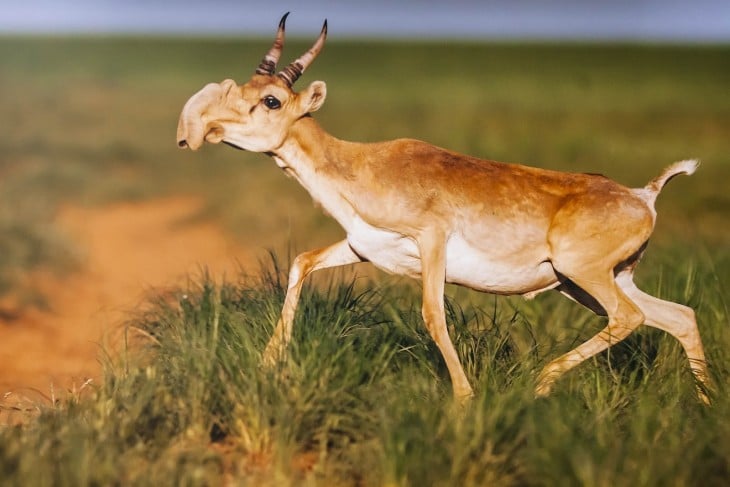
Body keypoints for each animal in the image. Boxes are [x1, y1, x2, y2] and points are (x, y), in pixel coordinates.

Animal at [176, 14, 704, 404]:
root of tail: (644, 195)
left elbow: (433, 314)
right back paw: (705, 406)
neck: (362, 164)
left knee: (630, 318)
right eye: (244, 89)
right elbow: (302, 262)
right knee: (678, 316)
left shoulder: (431, 241)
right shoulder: (362, 248)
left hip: (583, 276)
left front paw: (464, 400)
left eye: (272, 100)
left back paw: (542, 382)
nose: (203, 128)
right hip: (591, 282)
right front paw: (270, 363)